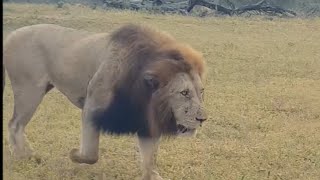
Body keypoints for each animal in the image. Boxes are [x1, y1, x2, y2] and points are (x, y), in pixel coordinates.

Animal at [3, 23, 209, 180]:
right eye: (184, 93)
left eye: (201, 92)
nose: (202, 119)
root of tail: (11, 34)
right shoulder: (92, 107)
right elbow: (91, 154)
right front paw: (74, 155)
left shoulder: (145, 121)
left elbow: (150, 158)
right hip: (29, 90)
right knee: (15, 124)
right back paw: (24, 156)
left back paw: (28, 154)